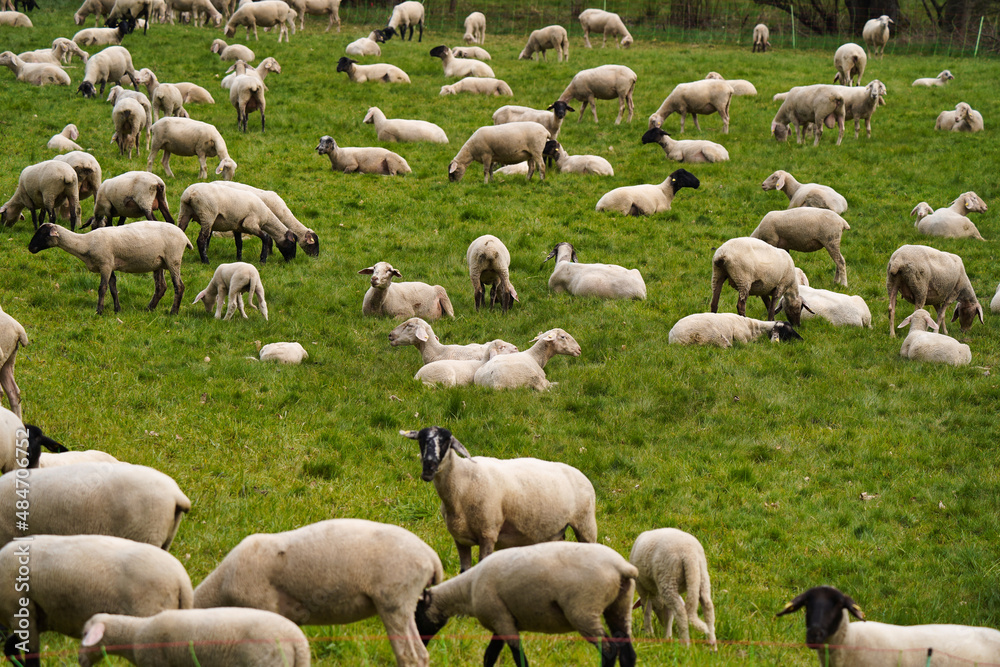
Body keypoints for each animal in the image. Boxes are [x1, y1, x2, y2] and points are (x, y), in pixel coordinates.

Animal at [27, 222, 190, 314]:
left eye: (43, 233)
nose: (30, 248)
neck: (85, 243)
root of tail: (184, 237)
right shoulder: (110, 265)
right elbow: (113, 288)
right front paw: (117, 309)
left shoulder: (105, 264)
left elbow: (102, 288)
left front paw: (99, 311)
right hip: (158, 263)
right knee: (161, 287)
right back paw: (149, 309)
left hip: (173, 259)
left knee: (179, 286)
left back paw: (173, 312)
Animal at [193, 518, 442, 667]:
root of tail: (432, 557)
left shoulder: (263, 607)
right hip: (405, 603)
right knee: (421, 654)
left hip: (394, 600)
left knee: (410, 656)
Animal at [400, 425, 595, 567]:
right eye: (421, 440)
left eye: (447, 441)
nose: (429, 468)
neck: (462, 482)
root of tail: (579, 473)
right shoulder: (460, 539)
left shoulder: (488, 533)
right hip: (555, 531)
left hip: (585, 524)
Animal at [415, 541, 636, 667]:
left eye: (415, 616)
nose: (421, 645)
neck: (467, 590)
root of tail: (622, 567)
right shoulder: (501, 621)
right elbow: (490, 656)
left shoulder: (500, 618)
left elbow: (518, 658)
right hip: (620, 605)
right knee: (627, 653)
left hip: (584, 610)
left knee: (609, 650)